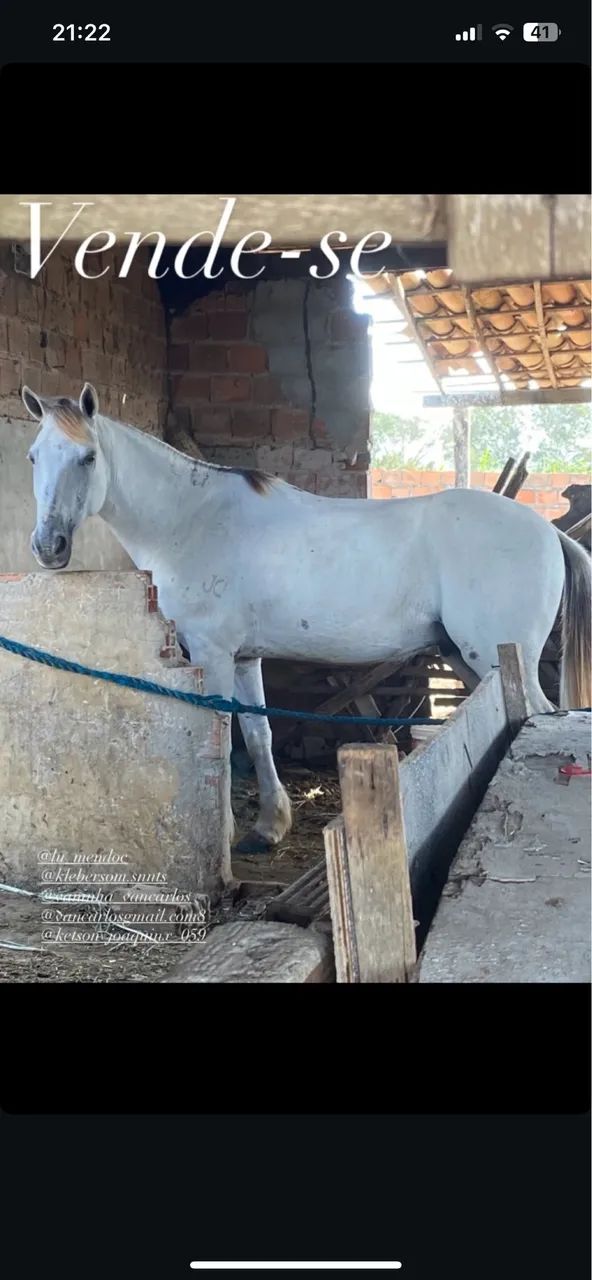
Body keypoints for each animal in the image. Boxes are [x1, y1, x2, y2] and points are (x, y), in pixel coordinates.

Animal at [21, 381, 591, 857]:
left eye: (87, 457)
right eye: (32, 457)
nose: (49, 547)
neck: (192, 521)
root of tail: (546, 531)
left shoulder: (212, 653)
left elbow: (221, 734)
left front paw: (227, 833)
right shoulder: (243, 657)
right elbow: (257, 732)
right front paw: (268, 827)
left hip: (497, 657)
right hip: (471, 660)